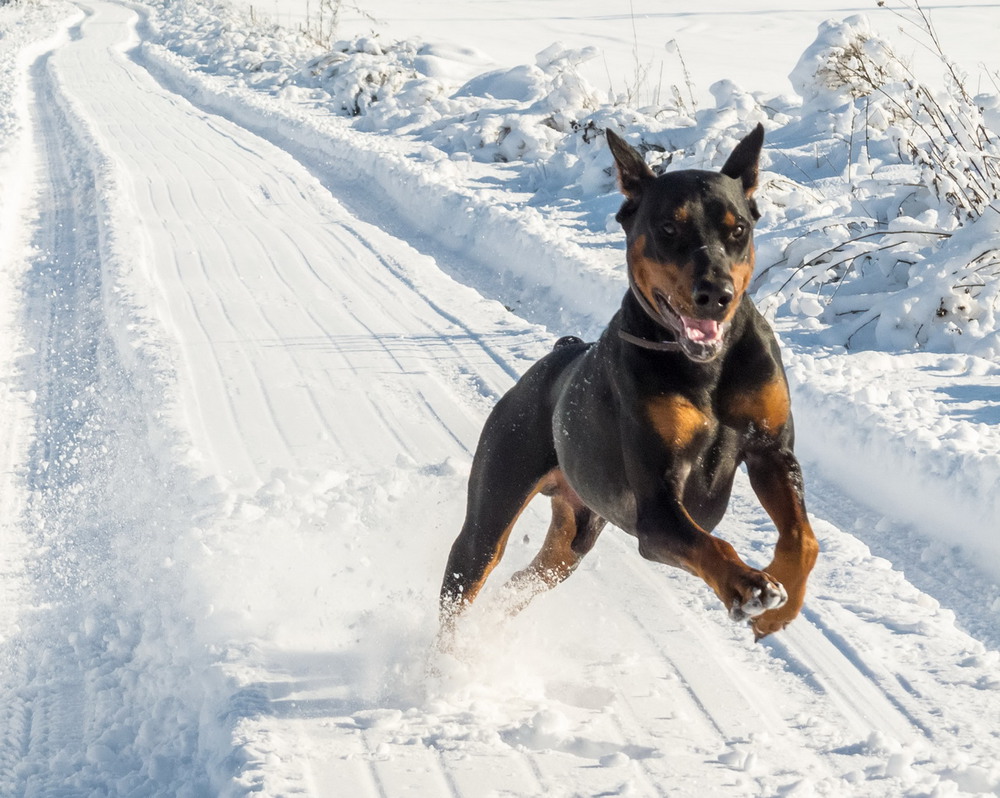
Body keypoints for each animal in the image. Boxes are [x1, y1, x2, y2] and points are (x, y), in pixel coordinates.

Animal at [442, 126, 816, 644]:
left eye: (737, 229)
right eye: (668, 228)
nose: (715, 294)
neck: (705, 368)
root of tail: (558, 353)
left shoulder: (772, 451)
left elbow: (804, 539)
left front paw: (779, 609)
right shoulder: (656, 512)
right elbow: (712, 544)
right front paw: (749, 588)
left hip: (574, 534)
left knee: (527, 578)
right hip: (494, 499)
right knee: (470, 574)